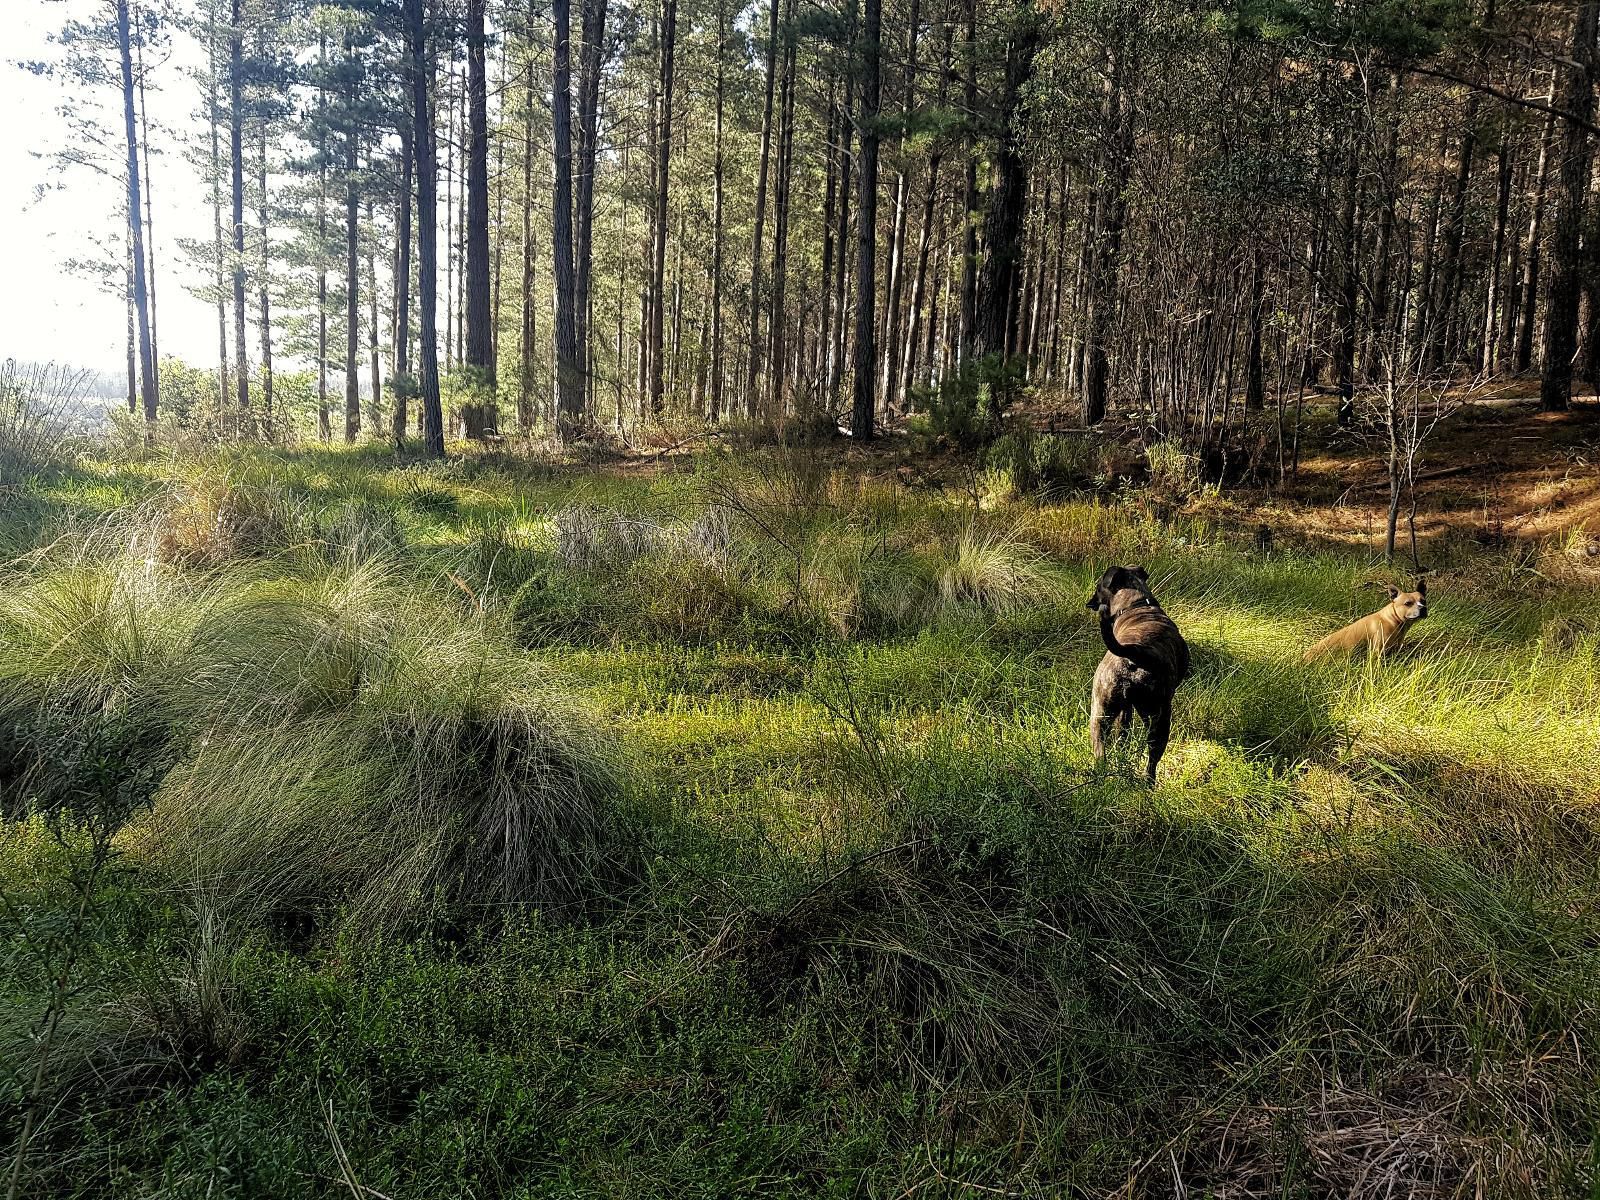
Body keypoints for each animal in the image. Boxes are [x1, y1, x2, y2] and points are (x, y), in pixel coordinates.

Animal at [1088, 569, 1190, 784]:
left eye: (1097, 587)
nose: (1091, 601)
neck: (1137, 604)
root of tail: (1132, 651)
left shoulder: (1124, 710)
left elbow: (1122, 735)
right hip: (1159, 718)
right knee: (1152, 759)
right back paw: (1149, 783)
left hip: (1099, 714)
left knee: (1101, 755)